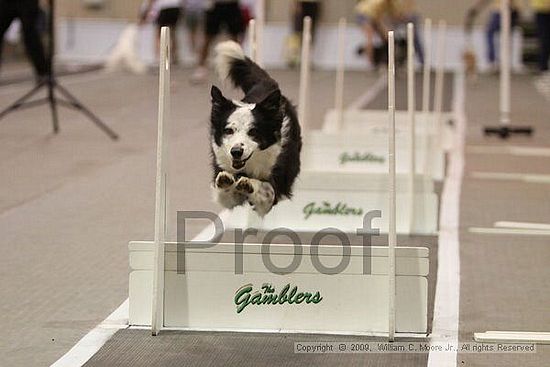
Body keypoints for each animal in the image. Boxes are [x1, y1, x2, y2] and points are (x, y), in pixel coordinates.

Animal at [212, 41, 302, 217]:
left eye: (253, 132)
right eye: (228, 131)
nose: (236, 152)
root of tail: (266, 85)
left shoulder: (275, 182)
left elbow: (268, 190)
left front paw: (249, 184)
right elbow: (225, 194)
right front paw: (226, 182)